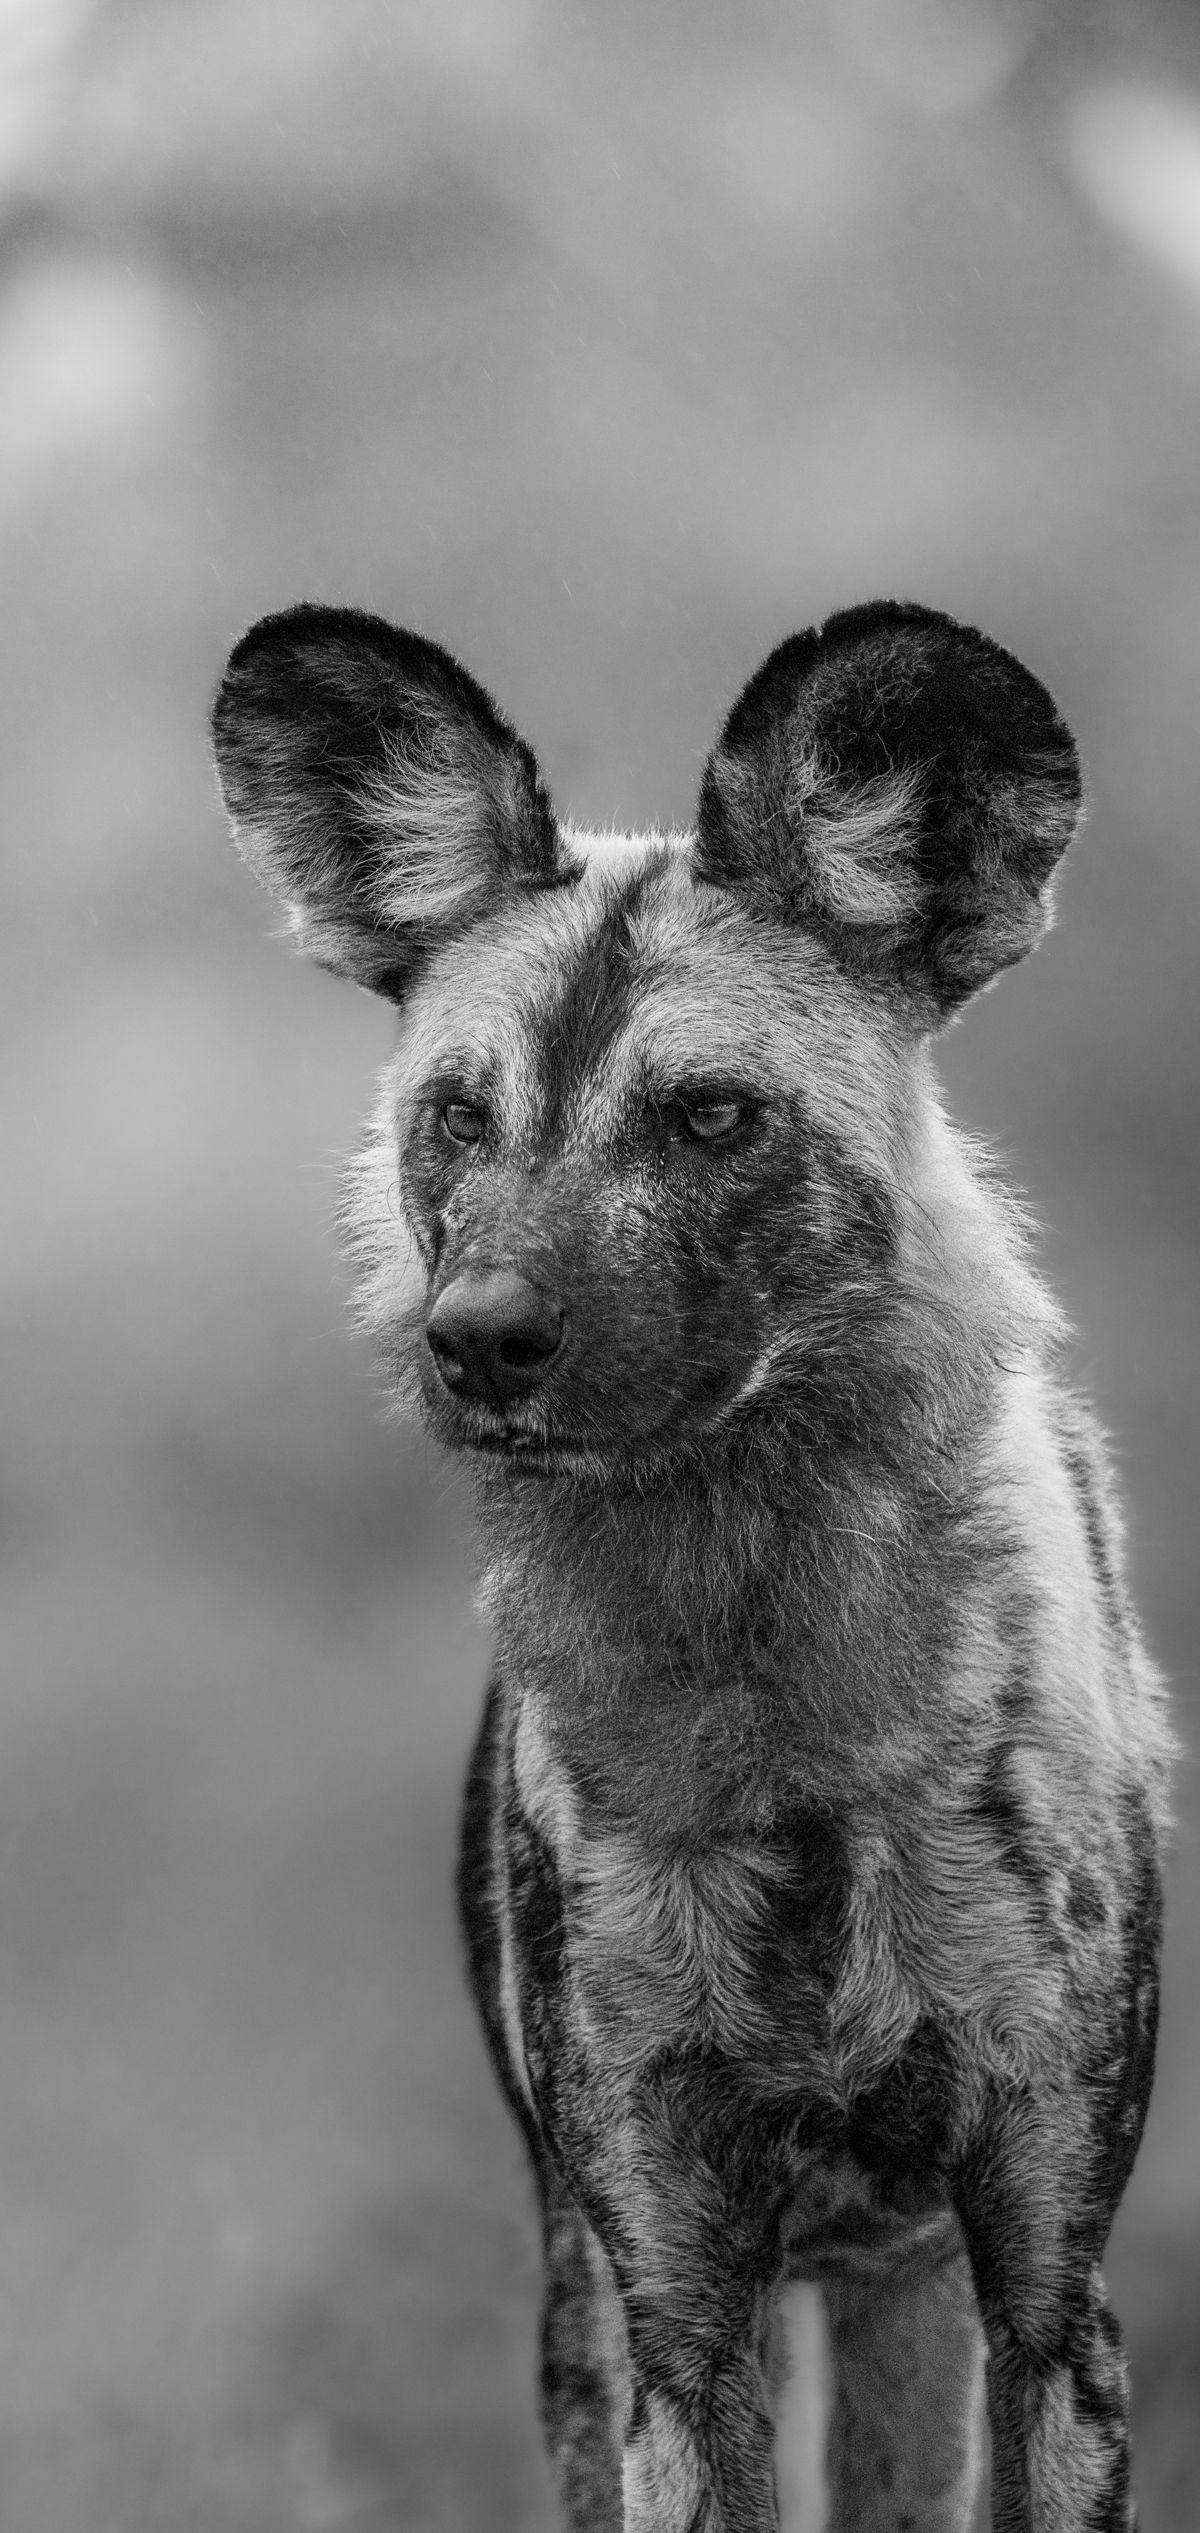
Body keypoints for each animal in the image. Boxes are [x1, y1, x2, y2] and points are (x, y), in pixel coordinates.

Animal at [212, 598, 1169, 2532]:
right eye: (458, 1116)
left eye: (713, 1115)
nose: (478, 1340)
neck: (776, 1692)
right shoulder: (676, 2306)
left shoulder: (1050, 2297)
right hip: (596, 2316)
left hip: (913, 2293)